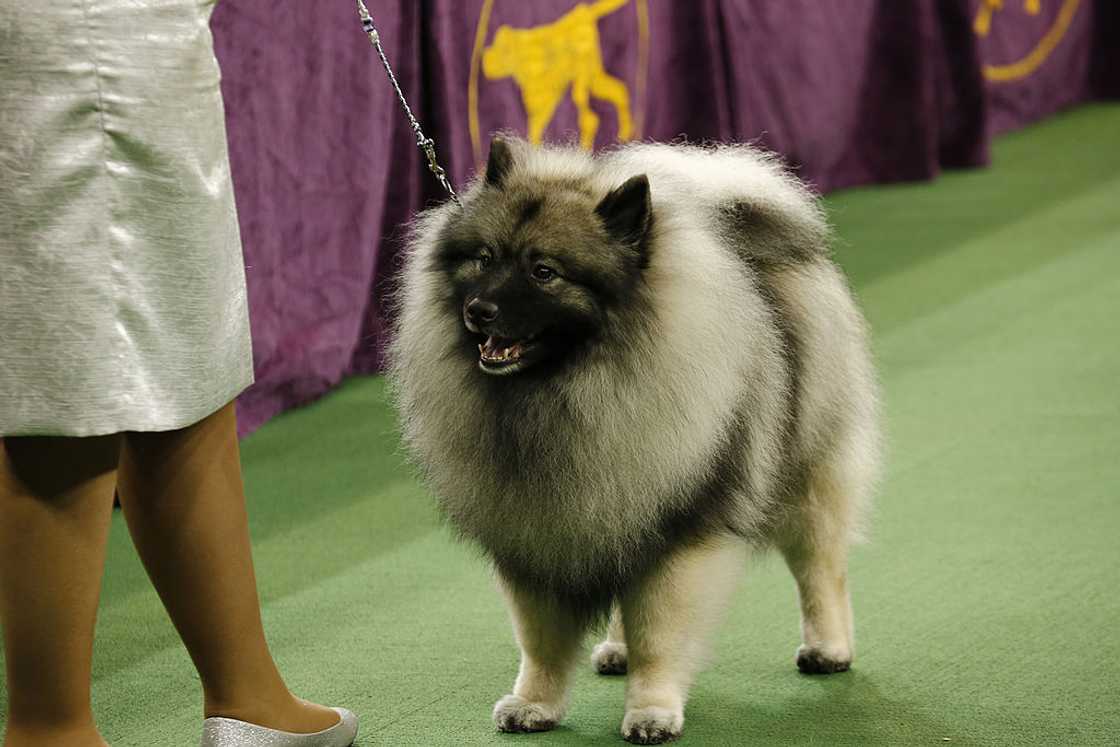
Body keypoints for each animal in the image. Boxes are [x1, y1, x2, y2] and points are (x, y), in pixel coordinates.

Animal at [389, 137, 878, 743]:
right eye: (483, 258)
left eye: (544, 271)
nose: (478, 310)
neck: (563, 394)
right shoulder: (537, 535)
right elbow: (540, 641)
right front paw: (535, 704)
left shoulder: (675, 531)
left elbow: (659, 634)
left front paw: (652, 710)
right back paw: (616, 649)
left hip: (805, 472)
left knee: (820, 566)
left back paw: (828, 647)